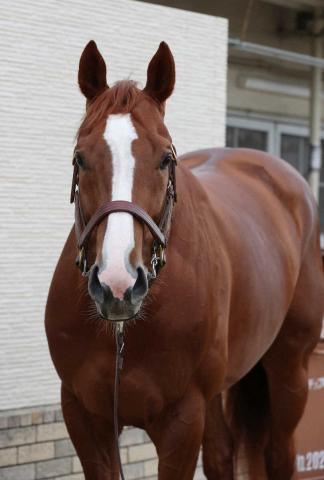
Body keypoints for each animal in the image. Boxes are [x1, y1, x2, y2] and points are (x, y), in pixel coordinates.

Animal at [46, 42, 324, 480]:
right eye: (79, 158)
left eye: (165, 159)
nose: (117, 285)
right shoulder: (84, 416)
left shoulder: (182, 420)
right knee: (222, 456)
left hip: (290, 369)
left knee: (281, 454)